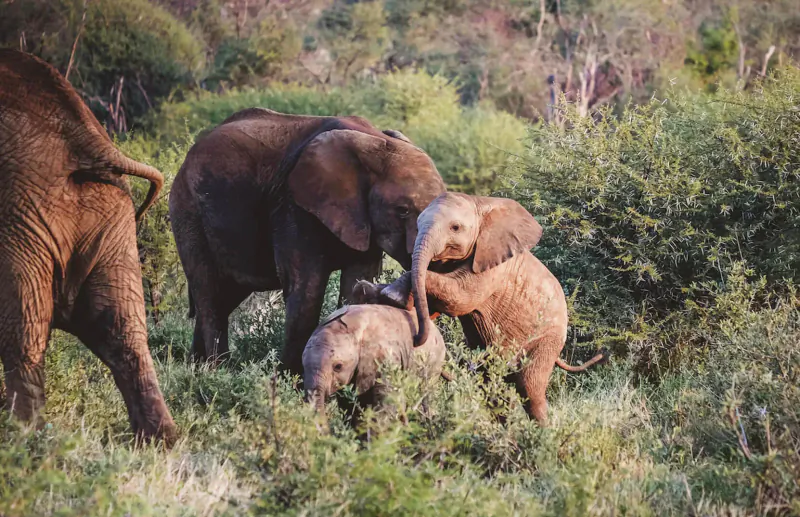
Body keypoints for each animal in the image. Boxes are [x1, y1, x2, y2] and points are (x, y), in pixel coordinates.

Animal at [0, 50, 176, 443]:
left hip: (18, 217)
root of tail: (86, 140)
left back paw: (23, 439)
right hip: (110, 214)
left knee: (24, 330)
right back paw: (162, 442)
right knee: (124, 331)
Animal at [168, 108, 446, 373]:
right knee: (210, 294)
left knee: (226, 295)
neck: (376, 141)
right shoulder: (293, 205)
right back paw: (218, 371)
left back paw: (198, 367)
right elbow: (306, 289)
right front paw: (289, 379)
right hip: (188, 211)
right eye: (402, 210)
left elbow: (355, 281)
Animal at [302, 303, 446, 421]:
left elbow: (385, 404)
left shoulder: (387, 359)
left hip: (434, 363)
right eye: (303, 365)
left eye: (338, 366)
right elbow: (348, 404)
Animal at [378, 192, 606, 425]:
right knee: (493, 385)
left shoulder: (495, 268)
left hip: (547, 341)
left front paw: (391, 295)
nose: (417, 339)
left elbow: (460, 298)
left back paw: (541, 431)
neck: (480, 204)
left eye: (455, 227)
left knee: (530, 390)